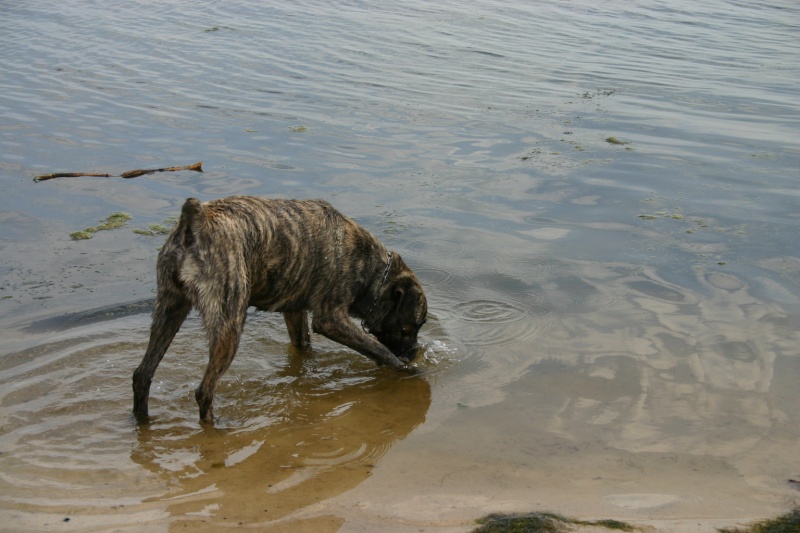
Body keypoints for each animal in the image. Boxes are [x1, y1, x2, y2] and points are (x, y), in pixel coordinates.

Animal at [133, 193, 424, 422]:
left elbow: (303, 345)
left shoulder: (294, 313)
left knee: (142, 374)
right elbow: (378, 349)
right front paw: (404, 368)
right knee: (204, 391)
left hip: (170, 310)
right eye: (409, 329)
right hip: (229, 326)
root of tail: (196, 218)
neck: (369, 266)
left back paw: (142, 421)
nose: (415, 352)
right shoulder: (331, 319)